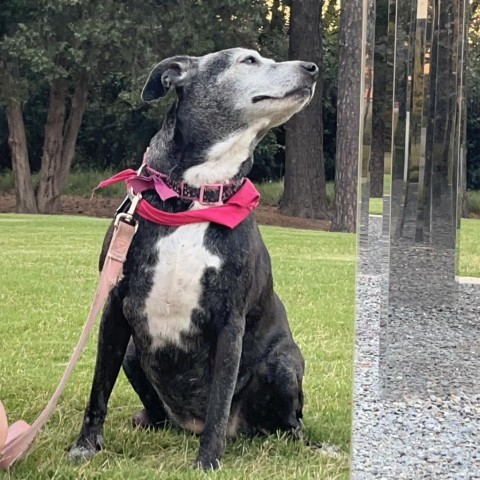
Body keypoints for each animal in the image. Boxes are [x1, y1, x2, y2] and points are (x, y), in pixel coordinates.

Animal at [68, 47, 318, 468]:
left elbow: (219, 400)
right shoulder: (114, 307)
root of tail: (189, 423)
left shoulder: (229, 322)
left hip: (283, 364)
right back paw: (147, 420)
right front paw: (86, 445)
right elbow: (98, 387)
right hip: (134, 353)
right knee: (156, 409)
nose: (313, 68)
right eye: (248, 60)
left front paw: (208, 462)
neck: (196, 196)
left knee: (287, 420)